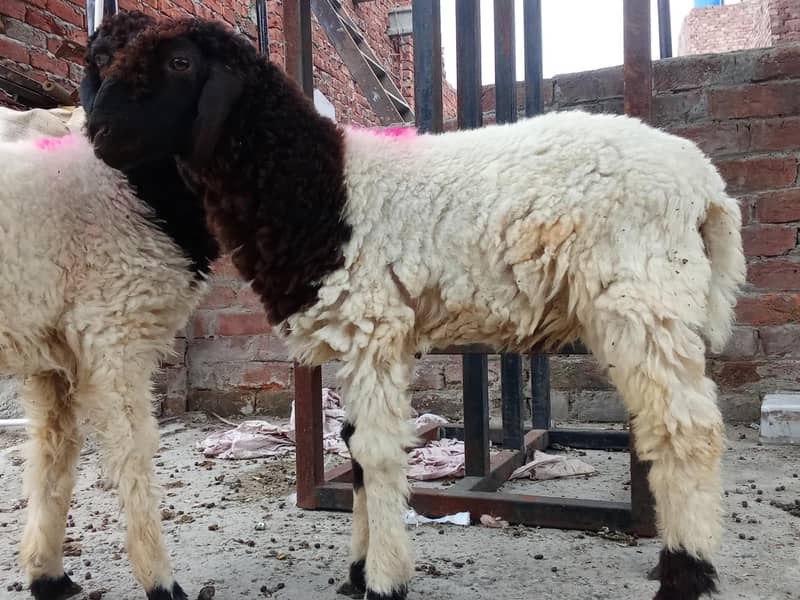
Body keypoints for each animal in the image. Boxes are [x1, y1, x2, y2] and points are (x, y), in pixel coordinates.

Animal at [0, 13, 217, 600]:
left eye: (181, 61)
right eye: (99, 59)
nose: (106, 131)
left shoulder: (53, 357)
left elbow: (54, 455)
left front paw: (47, 574)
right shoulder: (112, 332)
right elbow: (133, 449)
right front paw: (162, 582)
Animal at [84, 15, 746, 600]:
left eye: (180, 62)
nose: (98, 132)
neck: (314, 183)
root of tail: (706, 187)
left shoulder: (375, 326)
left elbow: (377, 452)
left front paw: (384, 581)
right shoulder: (359, 336)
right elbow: (352, 447)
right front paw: (358, 572)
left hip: (643, 296)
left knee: (687, 431)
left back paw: (686, 575)